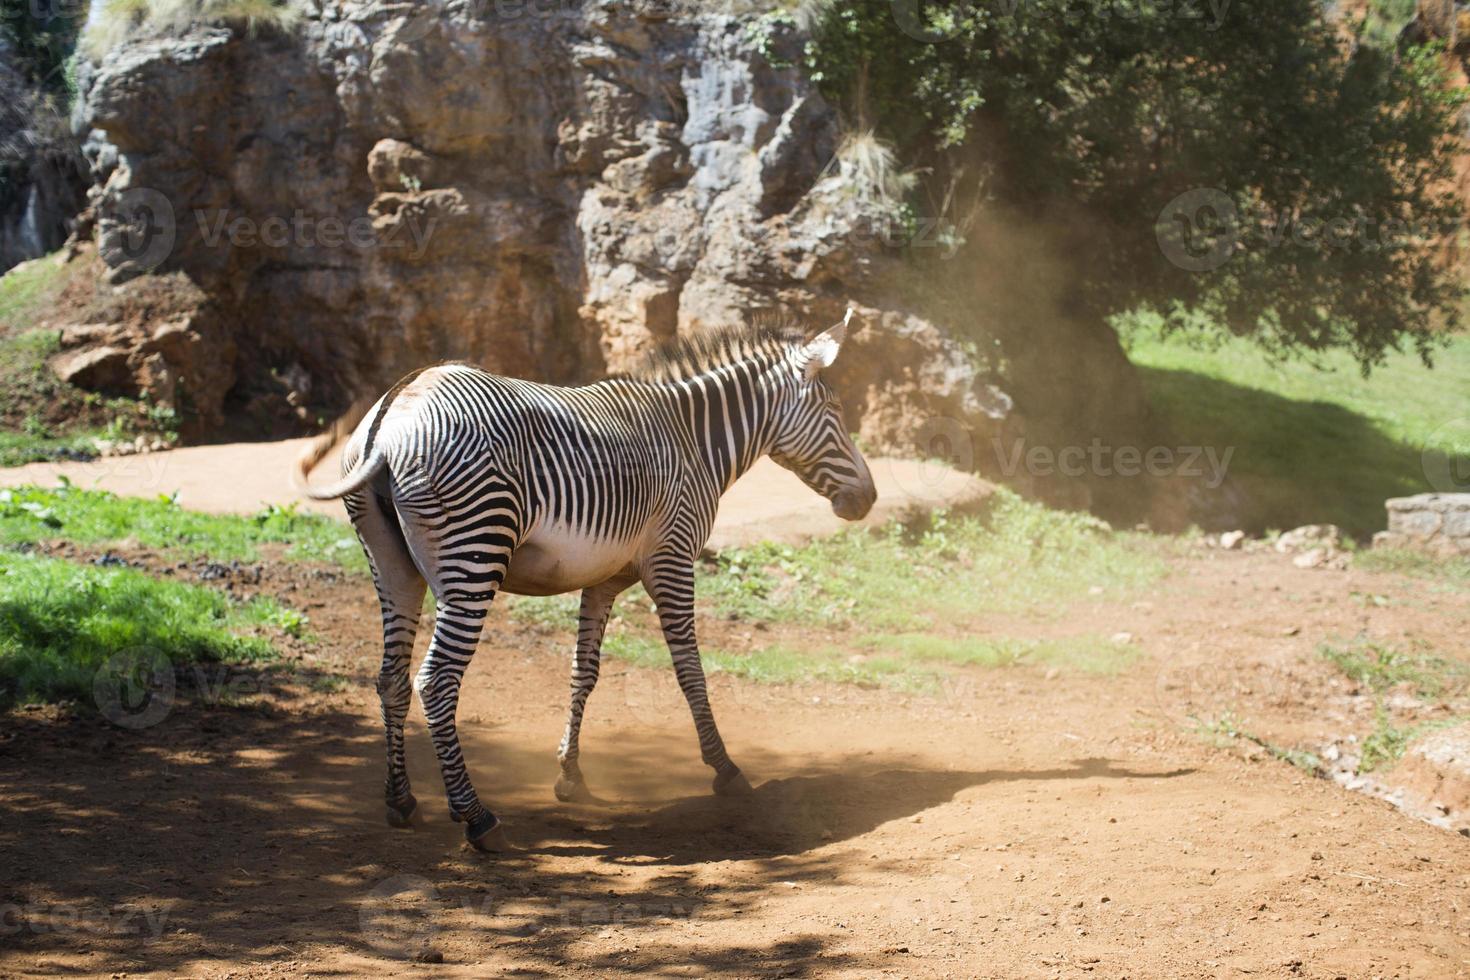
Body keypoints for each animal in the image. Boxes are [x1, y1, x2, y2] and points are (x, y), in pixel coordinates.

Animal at [296, 308, 870, 852]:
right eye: (836, 413)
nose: (868, 500)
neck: (692, 439)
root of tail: (393, 412)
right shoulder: (673, 556)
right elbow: (690, 670)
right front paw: (725, 770)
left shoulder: (604, 577)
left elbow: (583, 672)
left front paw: (570, 776)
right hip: (475, 553)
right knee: (436, 681)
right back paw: (477, 817)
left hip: (392, 565)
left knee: (391, 678)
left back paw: (401, 801)